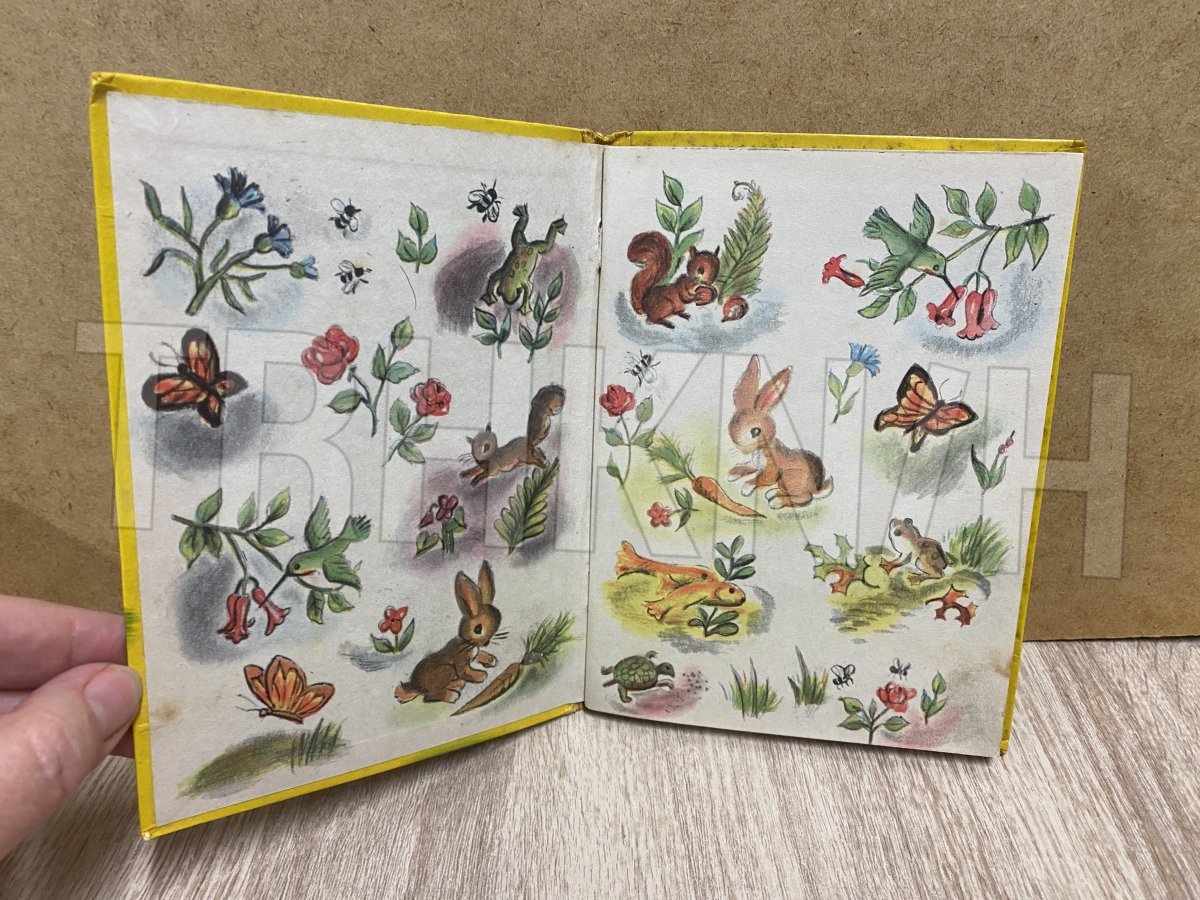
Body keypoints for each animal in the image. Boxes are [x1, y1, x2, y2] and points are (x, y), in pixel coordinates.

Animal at [394, 561, 503, 704]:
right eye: (478, 629)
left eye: (498, 620)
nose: (486, 643)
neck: (468, 643)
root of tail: (416, 688)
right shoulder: (460, 659)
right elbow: (466, 672)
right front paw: (481, 675)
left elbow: (480, 655)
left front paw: (491, 659)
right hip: (446, 669)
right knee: (428, 697)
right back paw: (451, 695)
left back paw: (456, 684)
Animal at [725, 355, 834, 509]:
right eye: (731, 425)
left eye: (755, 431)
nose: (742, 449)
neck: (763, 448)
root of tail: (816, 488)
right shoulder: (756, 465)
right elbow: (749, 467)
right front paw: (733, 473)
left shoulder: (771, 468)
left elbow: (763, 479)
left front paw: (746, 487)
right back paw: (773, 494)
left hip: (789, 479)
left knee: (805, 498)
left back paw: (775, 500)